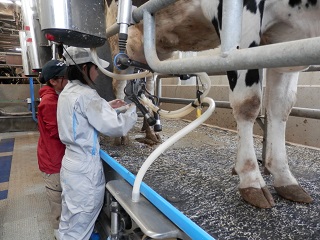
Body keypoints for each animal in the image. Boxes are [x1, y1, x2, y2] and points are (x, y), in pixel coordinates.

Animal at [105, 0, 318, 207]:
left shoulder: (285, 43)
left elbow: (281, 108)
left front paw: (285, 177)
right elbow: (248, 102)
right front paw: (251, 179)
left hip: (148, 49)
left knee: (144, 84)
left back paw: (150, 133)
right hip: (121, 43)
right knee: (120, 84)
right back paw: (122, 135)